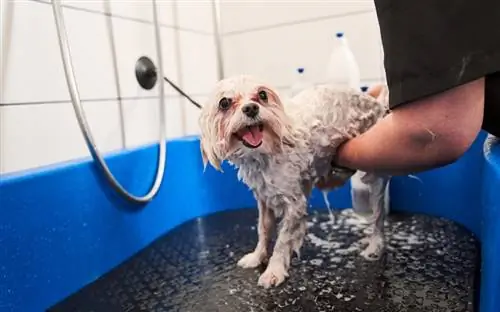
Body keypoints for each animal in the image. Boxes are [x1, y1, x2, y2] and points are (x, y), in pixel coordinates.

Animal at [199, 75, 390, 288]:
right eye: (224, 103)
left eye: (262, 95)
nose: (251, 108)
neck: (265, 154)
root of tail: (375, 103)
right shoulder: (263, 197)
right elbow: (263, 229)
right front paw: (257, 256)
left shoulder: (295, 204)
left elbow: (283, 240)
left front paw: (273, 270)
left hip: (376, 170)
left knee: (378, 216)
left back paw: (374, 246)